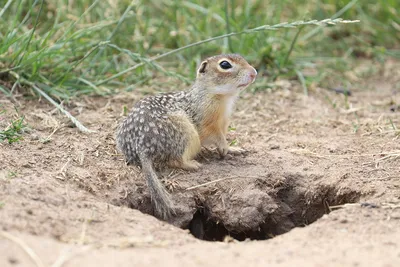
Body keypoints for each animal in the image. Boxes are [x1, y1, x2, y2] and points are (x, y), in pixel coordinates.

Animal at [117, 54, 258, 220]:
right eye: (225, 64)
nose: (254, 73)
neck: (217, 95)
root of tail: (141, 146)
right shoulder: (207, 122)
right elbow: (216, 136)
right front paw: (224, 147)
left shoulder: (223, 123)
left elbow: (224, 137)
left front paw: (234, 149)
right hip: (186, 132)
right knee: (175, 160)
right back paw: (193, 164)